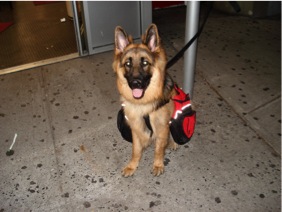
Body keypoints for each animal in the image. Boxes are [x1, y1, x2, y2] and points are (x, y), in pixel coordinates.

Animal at [112, 24, 178, 176]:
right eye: (128, 63)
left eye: (145, 63)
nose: (135, 83)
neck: (143, 103)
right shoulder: (135, 128)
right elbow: (135, 150)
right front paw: (132, 166)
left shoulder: (162, 128)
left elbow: (159, 149)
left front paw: (158, 164)